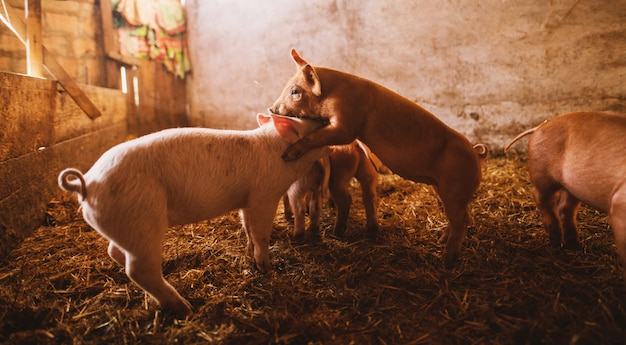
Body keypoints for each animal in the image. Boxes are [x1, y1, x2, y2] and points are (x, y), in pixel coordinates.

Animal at [58, 113, 330, 314]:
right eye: (316, 126)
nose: (328, 121)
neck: (278, 151)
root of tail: (88, 184)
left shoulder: (246, 201)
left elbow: (248, 228)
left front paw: (250, 256)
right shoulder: (264, 196)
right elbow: (262, 234)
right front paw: (268, 270)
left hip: (127, 225)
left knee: (115, 252)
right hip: (142, 219)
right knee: (138, 269)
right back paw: (185, 308)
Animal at [268, 49, 488, 266]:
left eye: (295, 91)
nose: (272, 109)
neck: (331, 94)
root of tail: (476, 155)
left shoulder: (345, 124)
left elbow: (319, 136)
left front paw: (287, 155)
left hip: (454, 188)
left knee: (461, 222)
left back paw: (446, 261)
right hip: (443, 189)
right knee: (464, 217)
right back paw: (440, 240)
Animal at [504, 111, 620, 282]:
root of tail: (539, 126)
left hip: (570, 186)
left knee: (564, 207)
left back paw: (574, 245)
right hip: (541, 174)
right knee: (541, 198)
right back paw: (555, 241)